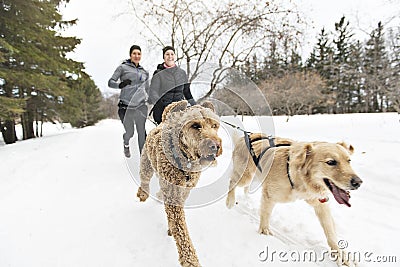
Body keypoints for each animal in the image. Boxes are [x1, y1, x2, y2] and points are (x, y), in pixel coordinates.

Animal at [138, 101, 222, 267]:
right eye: (195, 125)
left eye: (214, 125)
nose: (215, 145)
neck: (186, 160)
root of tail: (163, 122)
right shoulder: (173, 195)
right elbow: (181, 231)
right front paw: (190, 260)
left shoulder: (184, 190)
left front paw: (171, 227)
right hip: (146, 163)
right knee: (144, 178)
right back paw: (143, 193)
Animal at [228, 135, 362, 266]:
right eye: (331, 162)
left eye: (349, 161)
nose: (358, 183)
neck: (300, 179)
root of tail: (246, 136)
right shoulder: (269, 195)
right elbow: (266, 213)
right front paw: (264, 231)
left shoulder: (320, 203)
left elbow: (330, 232)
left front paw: (341, 255)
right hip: (244, 177)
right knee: (232, 182)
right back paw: (230, 200)